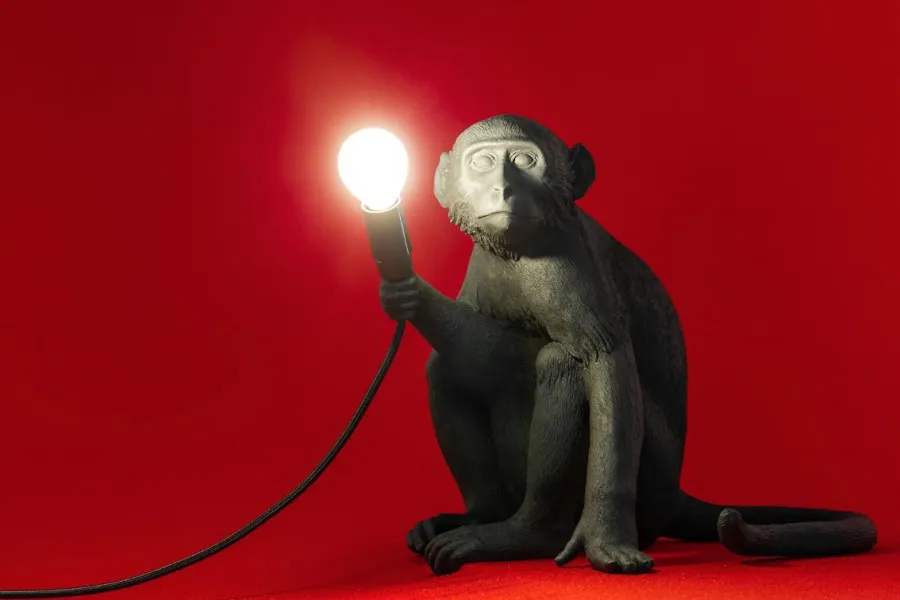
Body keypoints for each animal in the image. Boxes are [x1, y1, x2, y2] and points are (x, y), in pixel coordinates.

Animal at [378, 115, 877, 576]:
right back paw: (484, 514)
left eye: (523, 160)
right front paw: (406, 292)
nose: (502, 189)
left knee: (562, 362)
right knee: (448, 369)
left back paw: (529, 533)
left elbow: (604, 362)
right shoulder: (483, 266)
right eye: (482, 163)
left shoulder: (560, 265)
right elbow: (476, 351)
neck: (517, 249)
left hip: (651, 483)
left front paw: (604, 536)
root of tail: (673, 494)